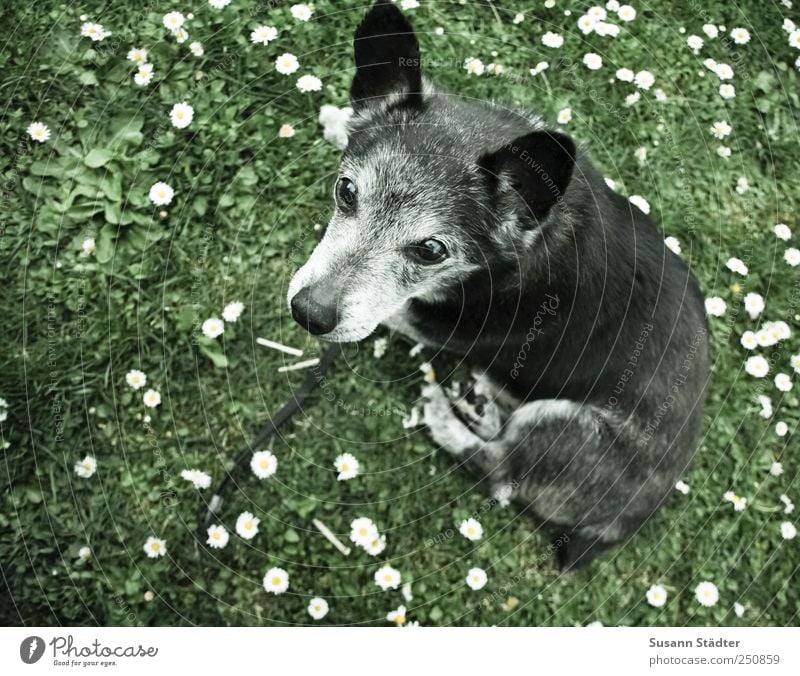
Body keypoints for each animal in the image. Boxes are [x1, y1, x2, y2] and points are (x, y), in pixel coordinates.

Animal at [286, 1, 708, 572]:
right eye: (346, 191)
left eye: (431, 250)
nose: (307, 313)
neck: (533, 230)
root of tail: (617, 528)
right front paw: (339, 119)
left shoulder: (425, 319)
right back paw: (481, 401)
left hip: (563, 426)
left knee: (499, 473)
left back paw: (446, 417)